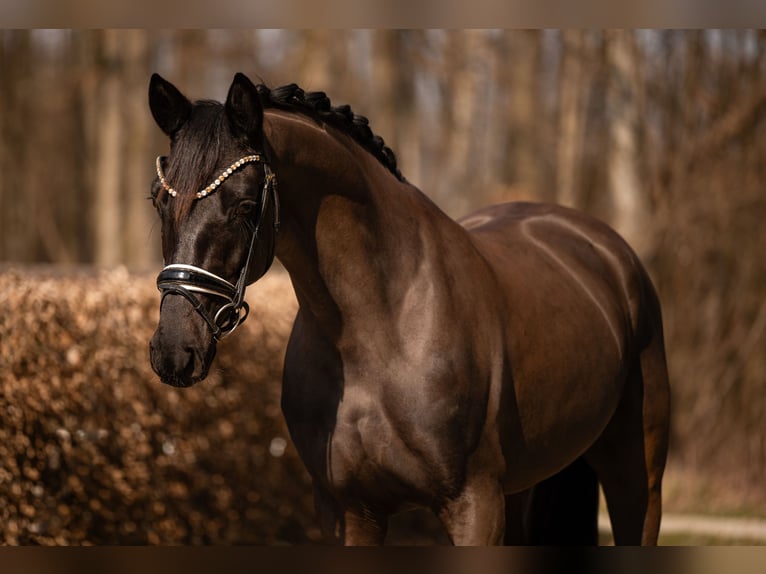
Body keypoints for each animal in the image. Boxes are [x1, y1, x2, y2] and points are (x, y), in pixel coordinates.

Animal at [147, 72, 670, 546]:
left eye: (242, 205)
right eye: (158, 202)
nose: (174, 351)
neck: (379, 330)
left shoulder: (474, 504)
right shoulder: (349, 511)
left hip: (635, 477)